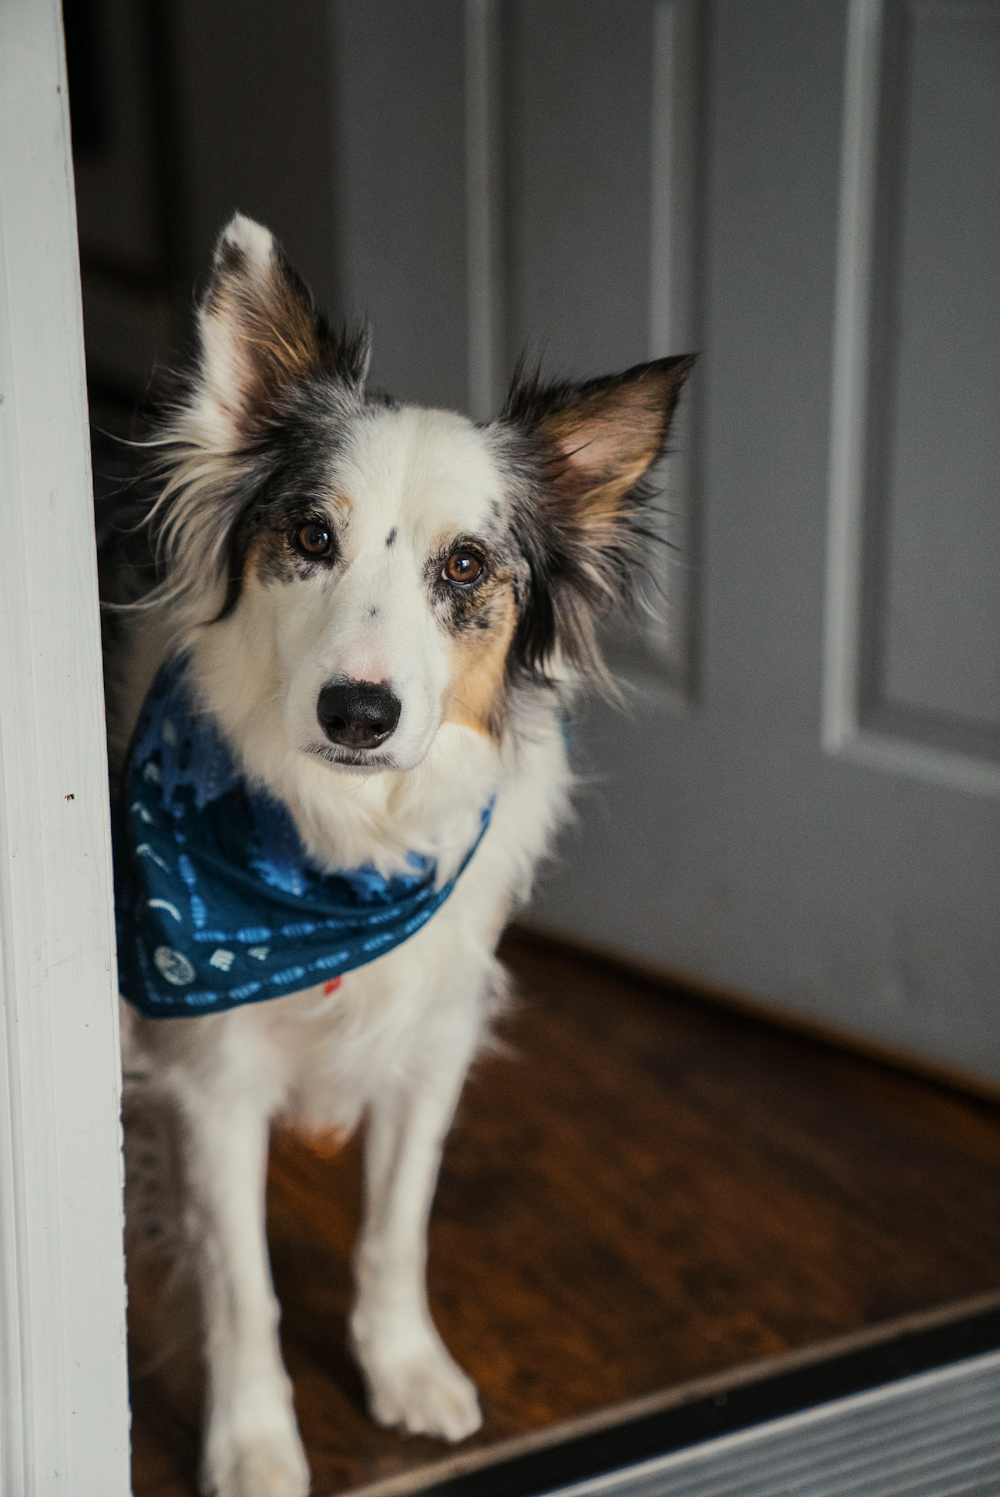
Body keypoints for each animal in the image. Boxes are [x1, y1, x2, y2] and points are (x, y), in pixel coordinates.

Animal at [105, 214, 691, 1497]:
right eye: (310, 538)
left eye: (465, 567)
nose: (358, 715)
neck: (335, 850)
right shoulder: (209, 1077)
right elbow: (242, 1289)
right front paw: (254, 1442)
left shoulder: (434, 1038)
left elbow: (395, 1230)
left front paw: (405, 1368)